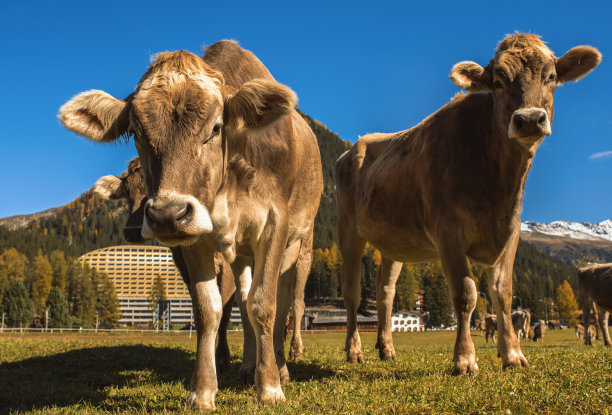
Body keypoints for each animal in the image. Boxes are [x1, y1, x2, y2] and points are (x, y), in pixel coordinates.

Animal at [332, 34, 600, 376]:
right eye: (498, 82)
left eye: (551, 77)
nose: (529, 119)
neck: (497, 183)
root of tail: (357, 144)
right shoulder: (447, 231)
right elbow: (465, 294)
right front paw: (464, 359)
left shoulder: (510, 230)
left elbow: (502, 292)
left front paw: (512, 354)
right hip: (348, 231)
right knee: (352, 293)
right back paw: (354, 350)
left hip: (393, 242)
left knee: (385, 293)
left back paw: (387, 349)